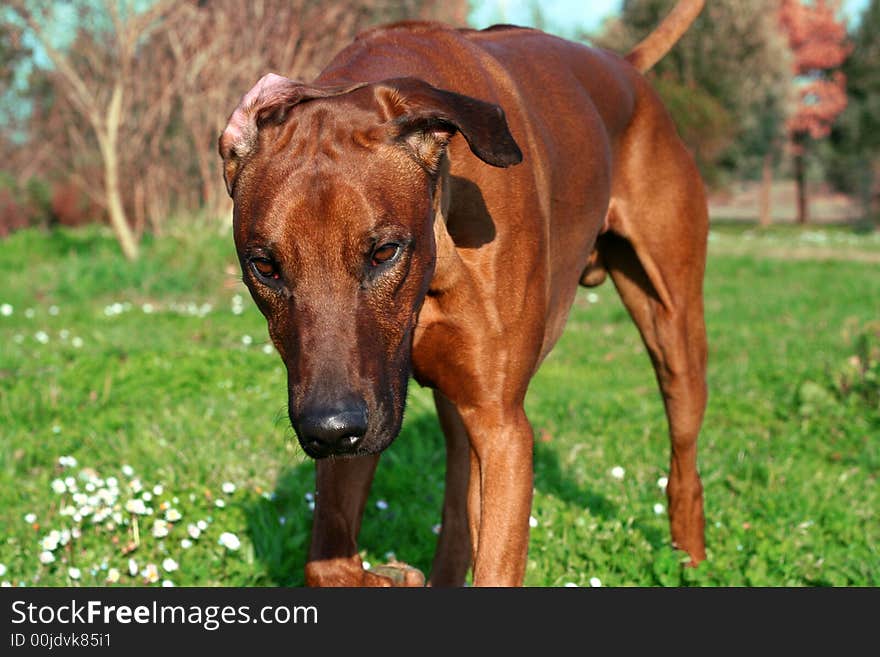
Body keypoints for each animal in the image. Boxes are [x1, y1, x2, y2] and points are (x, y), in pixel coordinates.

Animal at [218, 0, 708, 584]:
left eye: (384, 252)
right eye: (265, 266)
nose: (329, 431)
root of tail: (625, 67)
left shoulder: (501, 428)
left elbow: (495, 560)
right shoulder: (366, 399)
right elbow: (329, 564)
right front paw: (390, 576)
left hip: (673, 327)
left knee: (683, 452)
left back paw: (691, 556)